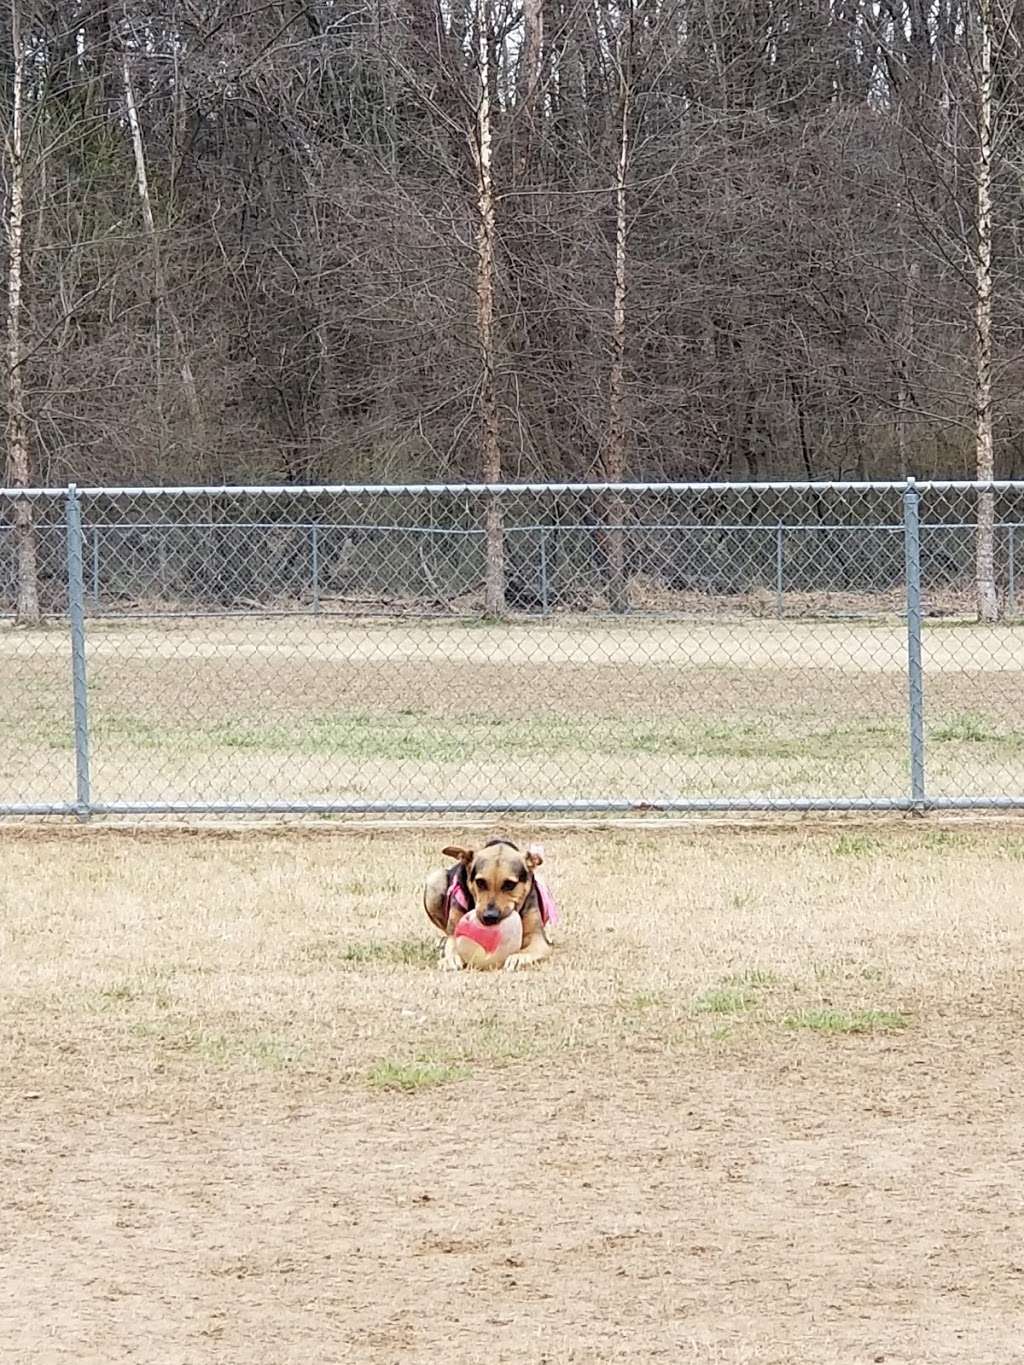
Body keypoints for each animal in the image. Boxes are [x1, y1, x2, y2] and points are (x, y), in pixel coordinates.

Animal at [423, 829, 562, 971]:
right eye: (480, 882)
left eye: (509, 885)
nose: (490, 917)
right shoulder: (454, 929)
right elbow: (452, 943)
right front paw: (451, 958)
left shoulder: (537, 938)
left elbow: (533, 946)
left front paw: (518, 957)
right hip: (435, 880)